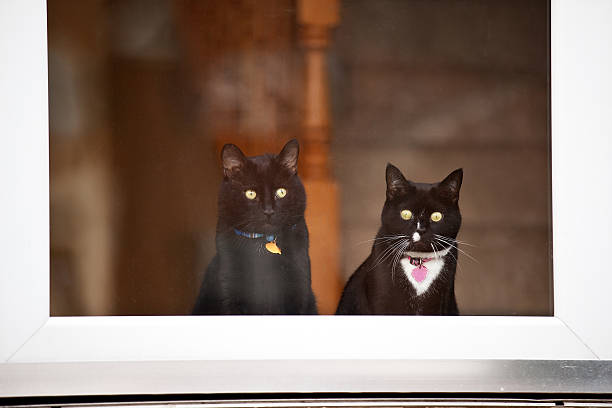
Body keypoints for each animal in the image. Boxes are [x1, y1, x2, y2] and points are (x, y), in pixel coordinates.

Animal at [192, 139, 318, 314]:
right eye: (250, 194)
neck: (262, 245)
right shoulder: (231, 290)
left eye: (281, 192)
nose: (269, 211)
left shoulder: (299, 287)